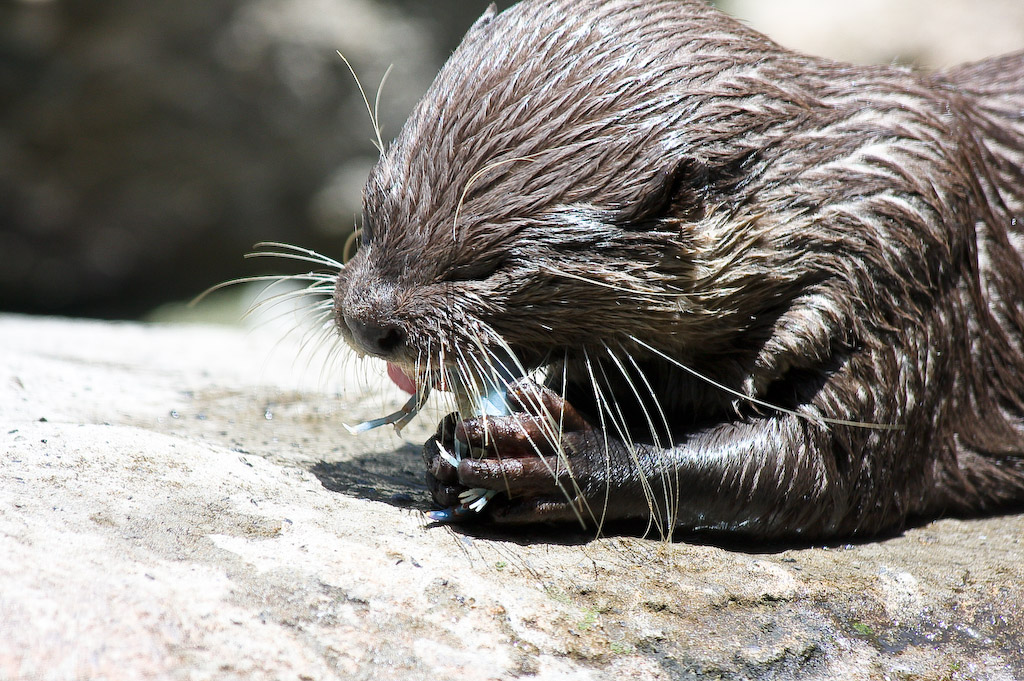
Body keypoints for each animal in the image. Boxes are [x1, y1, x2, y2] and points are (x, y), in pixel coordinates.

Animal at [332, 0, 1024, 539]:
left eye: (488, 267)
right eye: (373, 209)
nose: (366, 321)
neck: (835, 200)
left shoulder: (906, 281)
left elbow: (823, 470)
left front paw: (548, 457)